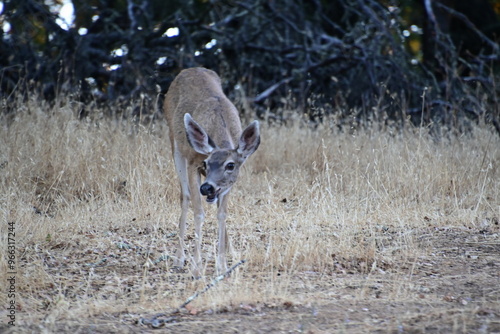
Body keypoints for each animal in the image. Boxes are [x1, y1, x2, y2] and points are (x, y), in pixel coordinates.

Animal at [164, 67, 262, 276]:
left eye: (231, 165)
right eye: (206, 163)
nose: (206, 188)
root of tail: (189, 69)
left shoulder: (227, 184)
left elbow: (222, 214)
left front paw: (223, 265)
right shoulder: (193, 163)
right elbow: (199, 212)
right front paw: (196, 267)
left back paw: (231, 250)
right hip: (174, 143)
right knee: (184, 196)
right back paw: (179, 258)